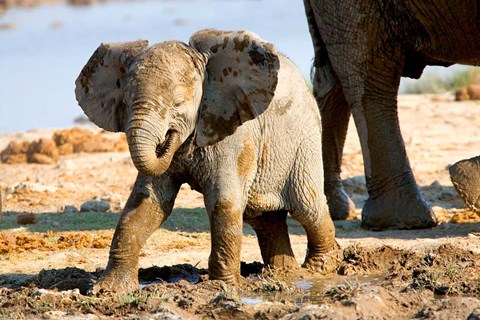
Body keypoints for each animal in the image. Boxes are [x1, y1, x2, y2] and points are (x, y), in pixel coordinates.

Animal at [76, 28, 338, 292]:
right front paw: (107, 290)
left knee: (307, 207)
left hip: (304, 142)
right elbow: (146, 203)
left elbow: (223, 201)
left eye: (178, 104)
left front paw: (221, 287)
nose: (167, 139)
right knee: (264, 219)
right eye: (126, 102)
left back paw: (319, 269)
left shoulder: (233, 132)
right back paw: (284, 274)